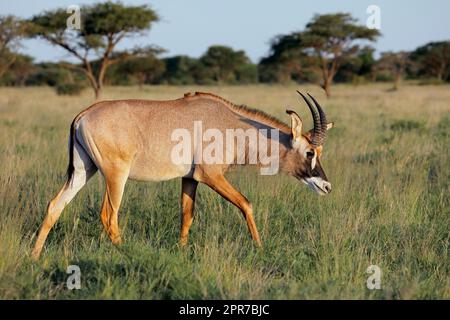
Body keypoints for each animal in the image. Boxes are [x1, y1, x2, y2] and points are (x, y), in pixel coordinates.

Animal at [31, 89, 332, 258]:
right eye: (310, 152)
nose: (326, 187)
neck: (230, 123)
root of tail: (83, 115)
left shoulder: (189, 178)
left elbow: (187, 215)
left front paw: (182, 251)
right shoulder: (210, 176)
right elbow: (246, 204)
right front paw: (259, 248)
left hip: (84, 170)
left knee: (55, 205)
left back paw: (34, 256)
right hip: (116, 175)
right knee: (108, 215)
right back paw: (126, 253)